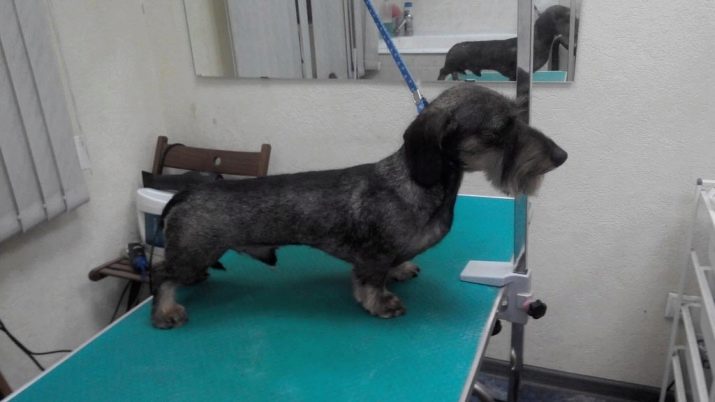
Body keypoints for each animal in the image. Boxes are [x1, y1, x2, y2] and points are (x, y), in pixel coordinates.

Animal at [150, 83, 567, 329]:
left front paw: (400, 270)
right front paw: (380, 303)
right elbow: (370, 282)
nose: (561, 156)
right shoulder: (372, 257)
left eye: (518, 117)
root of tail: (189, 193)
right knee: (161, 276)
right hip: (193, 254)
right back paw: (165, 311)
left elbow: (393, 265)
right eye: (500, 129)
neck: (414, 183)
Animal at [437, 5, 573, 81]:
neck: (537, 40)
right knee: (442, 71)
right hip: (450, 65)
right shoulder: (514, 75)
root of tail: (451, 49)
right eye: (567, 15)